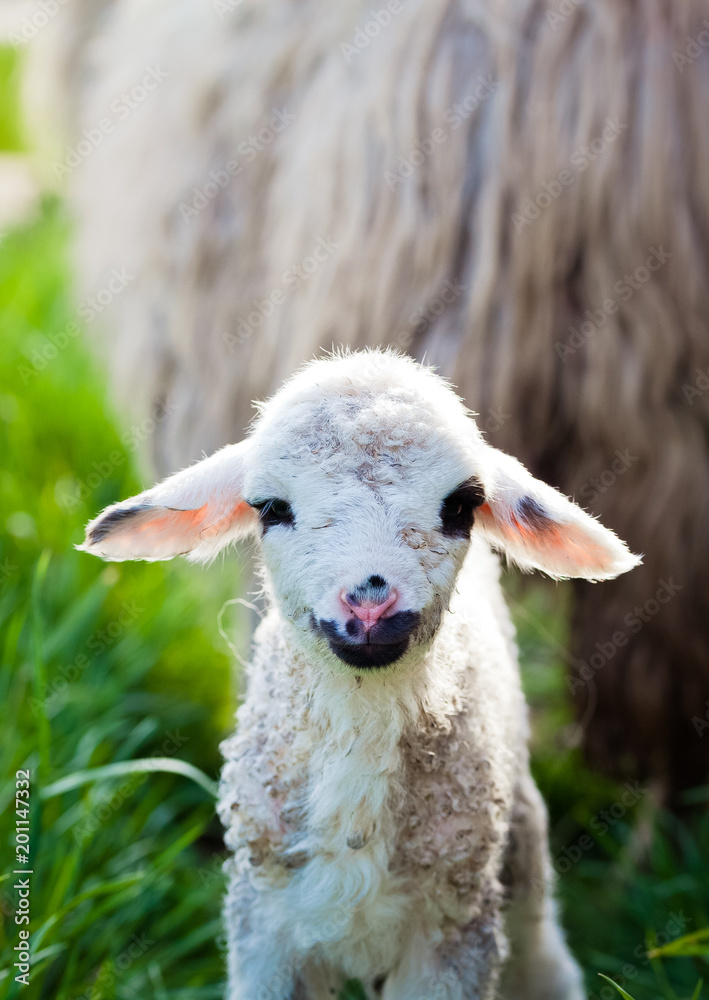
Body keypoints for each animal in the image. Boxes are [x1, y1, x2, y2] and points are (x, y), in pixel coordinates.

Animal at [79, 350, 640, 1000]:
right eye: (271, 508)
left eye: (461, 505)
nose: (370, 603)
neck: (361, 718)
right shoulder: (264, 927)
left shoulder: (451, 937)